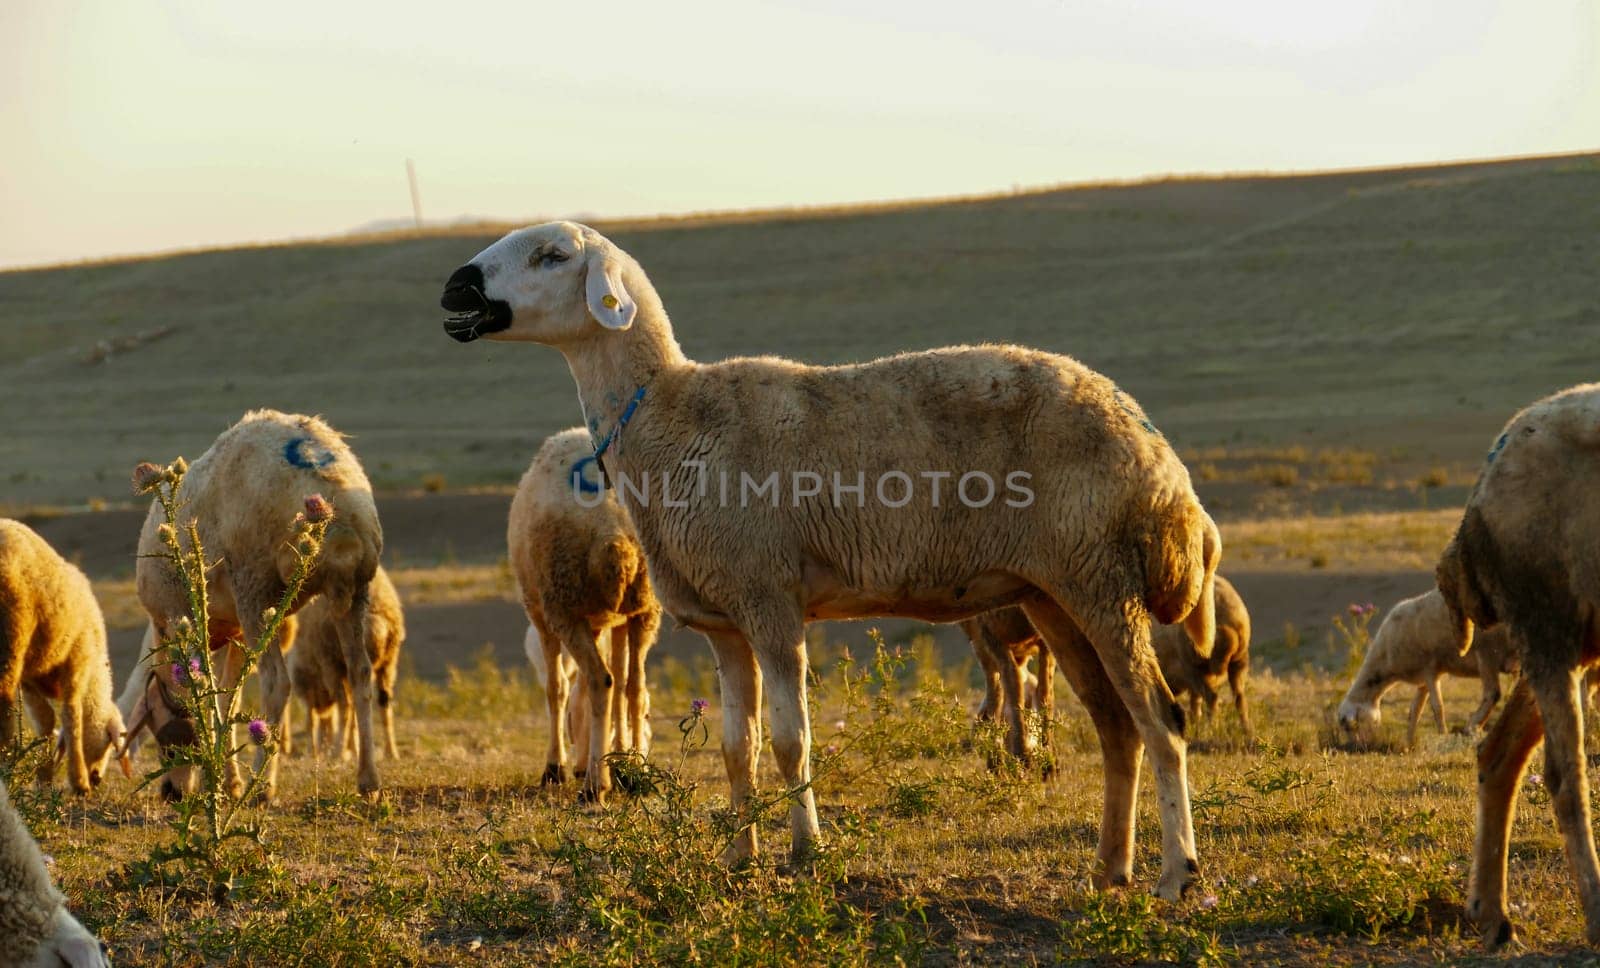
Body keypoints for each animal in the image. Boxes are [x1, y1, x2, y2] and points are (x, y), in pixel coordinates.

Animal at [0, 518, 126, 790]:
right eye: (109, 744)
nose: (97, 779)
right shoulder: (78, 658)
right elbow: (72, 716)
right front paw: (78, 781)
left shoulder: (29, 675)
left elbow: (45, 720)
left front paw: (44, 777)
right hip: (12, 638)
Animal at [512, 425, 662, 790]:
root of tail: (613, 531)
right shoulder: (618, 617)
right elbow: (621, 685)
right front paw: (621, 757)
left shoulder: (543, 616)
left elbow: (557, 690)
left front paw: (557, 767)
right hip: (646, 607)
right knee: (634, 685)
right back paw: (633, 771)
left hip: (563, 602)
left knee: (599, 680)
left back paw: (595, 785)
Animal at [1331, 588, 1516, 739]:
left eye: (1349, 726)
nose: (1357, 747)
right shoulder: (1423, 677)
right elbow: (1415, 711)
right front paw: (1409, 743)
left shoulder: (1430, 669)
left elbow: (1437, 707)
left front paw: (1443, 735)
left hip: (1487, 651)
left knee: (1493, 693)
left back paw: (1472, 727)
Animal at [1433, 382, 1600, 940]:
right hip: (1547, 623)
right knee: (1565, 778)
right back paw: (1594, 916)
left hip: (1573, 640)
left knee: (1498, 752)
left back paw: (1489, 911)